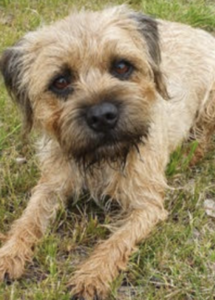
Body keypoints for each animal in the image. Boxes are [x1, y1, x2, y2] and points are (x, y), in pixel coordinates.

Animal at [0, 5, 215, 300]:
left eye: (122, 66)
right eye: (60, 81)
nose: (102, 115)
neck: (101, 159)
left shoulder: (146, 206)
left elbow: (117, 241)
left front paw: (93, 275)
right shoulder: (51, 185)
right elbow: (27, 220)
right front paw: (8, 254)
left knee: (205, 135)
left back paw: (188, 156)